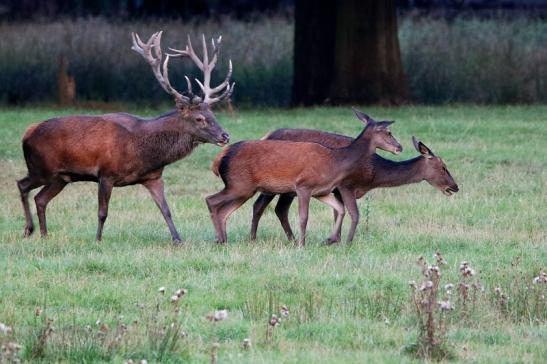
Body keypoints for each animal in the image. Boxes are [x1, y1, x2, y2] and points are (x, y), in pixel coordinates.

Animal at [16, 30, 234, 242]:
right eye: (199, 118)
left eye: (213, 114)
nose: (225, 136)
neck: (142, 153)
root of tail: (28, 132)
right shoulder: (106, 173)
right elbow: (102, 212)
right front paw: (98, 240)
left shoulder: (153, 177)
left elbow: (166, 210)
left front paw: (178, 239)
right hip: (41, 168)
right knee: (22, 185)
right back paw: (29, 229)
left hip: (61, 177)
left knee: (40, 199)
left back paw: (44, 235)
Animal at [206, 110, 402, 247]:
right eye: (388, 132)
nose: (399, 147)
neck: (335, 162)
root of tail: (218, 159)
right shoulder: (303, 186)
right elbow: (303, 217)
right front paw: (302, 244)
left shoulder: (322, 191)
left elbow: (340, 209)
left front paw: (330, 239)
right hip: (240, 185)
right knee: (211, 200)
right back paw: (220, 239)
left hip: (243, 188)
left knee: (224, 210)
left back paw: (224, 239)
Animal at [252, 133, 458, 242]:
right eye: (443, 167)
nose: (455, 187)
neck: (374, 175)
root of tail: (265, 135)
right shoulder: (345, 185)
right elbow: (353, 214)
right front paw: (344, 241)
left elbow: (339, 212)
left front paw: (334, 239)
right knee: (264, 206)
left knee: (275, 208)